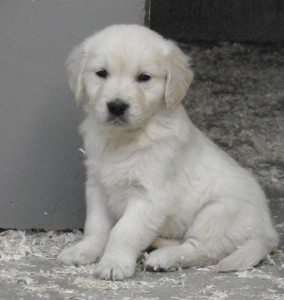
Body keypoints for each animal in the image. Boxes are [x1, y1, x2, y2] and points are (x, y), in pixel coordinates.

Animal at [57, 24, 278, 280]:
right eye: (101, 73)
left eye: (144, 77)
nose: (116, 106)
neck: (125, 139)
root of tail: (269, 232)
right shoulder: (97, 186)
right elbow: (96, 225)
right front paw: (83, 251)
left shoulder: (150, 196)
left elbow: (124, 231)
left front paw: (114, 263)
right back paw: (158, 243)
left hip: (217, 212)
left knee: (204, 248)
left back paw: (164, 257)